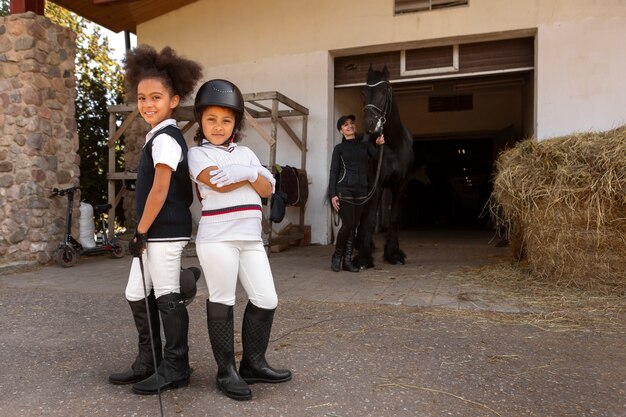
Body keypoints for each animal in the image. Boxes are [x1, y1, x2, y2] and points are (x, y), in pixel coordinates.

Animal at [354, 64, 412, 266]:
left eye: (384, 90)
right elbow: (371, 219)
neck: (393, 144)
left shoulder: (399, 185)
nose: (369, 123)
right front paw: (363, 258)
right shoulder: (376, 184)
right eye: (364, 91)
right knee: (362, 214)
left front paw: (394, 253)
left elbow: (393, 218)